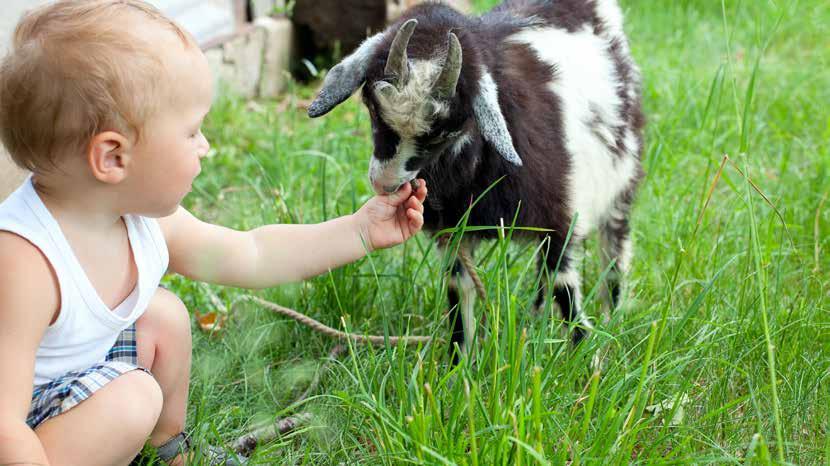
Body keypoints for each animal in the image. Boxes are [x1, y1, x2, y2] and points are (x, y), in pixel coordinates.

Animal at [308, 0, 648, 356]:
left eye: (445, 131)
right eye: (373, 108)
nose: (385, 184)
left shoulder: (559, 215)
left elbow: (564, 284)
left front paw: (582, 354)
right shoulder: (453, 231)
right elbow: (459, 291)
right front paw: (458, 360)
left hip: (621, 182)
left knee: (613, 249)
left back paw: (613, 314)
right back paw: (537, 317)